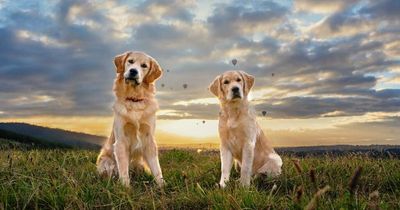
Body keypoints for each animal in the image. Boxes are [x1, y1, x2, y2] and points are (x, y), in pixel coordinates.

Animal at [97, 50, 164, 187]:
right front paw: (126, 188)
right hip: (106, 162)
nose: (133, 71)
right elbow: (123, 169)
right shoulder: (121, 140)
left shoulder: (149, 138)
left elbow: (157, 168)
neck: (134, 100)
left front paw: (162, 186)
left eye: (144, 66)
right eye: (130, 61)